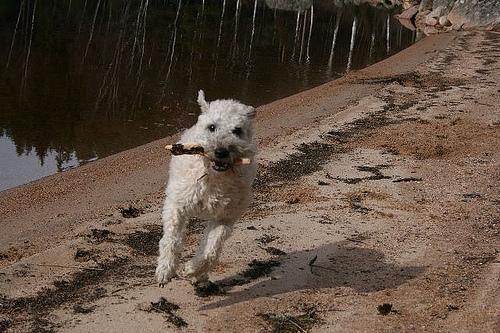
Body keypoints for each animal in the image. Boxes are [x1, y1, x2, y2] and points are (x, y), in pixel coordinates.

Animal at [156, 89, 258, 286]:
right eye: (212, 127)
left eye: (237, 130)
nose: (221, 152)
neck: (213, 176)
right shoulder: (177, 205)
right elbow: (171, 239)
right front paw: (165, 269)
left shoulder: (225, 217)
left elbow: (211, 251)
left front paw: (191, 270)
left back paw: (200, 277)